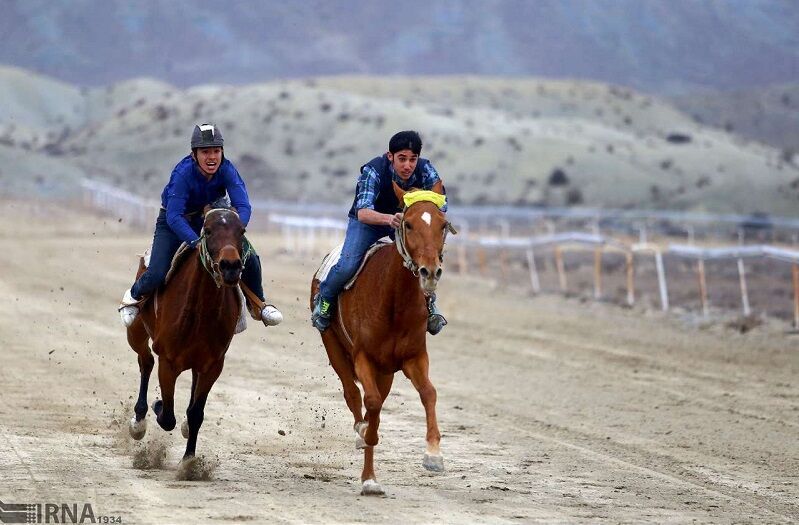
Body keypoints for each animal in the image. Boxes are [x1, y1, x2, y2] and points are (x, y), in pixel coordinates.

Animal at [126, 207, 245, 460]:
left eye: (242, 231)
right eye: (208, 231)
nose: (230, 266)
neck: (201, 312)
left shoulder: (213, 365)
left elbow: (196, 413)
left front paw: (189, 459)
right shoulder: (168, 361)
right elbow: (167, 416)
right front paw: (158, 405)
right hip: (136, 332)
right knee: (146, 360)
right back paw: (138, 421)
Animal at [310, 181, 456, 496]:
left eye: (442, 224)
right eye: (409, 224)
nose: (430, 272)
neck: (393, 300)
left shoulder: (414, 356)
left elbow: (429, 393)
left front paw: (433, 455)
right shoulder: (363, 357)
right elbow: (372, 403)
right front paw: (369, 477)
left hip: (387, 370)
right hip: (333, 346)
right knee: (352, 393)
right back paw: (360, 430)